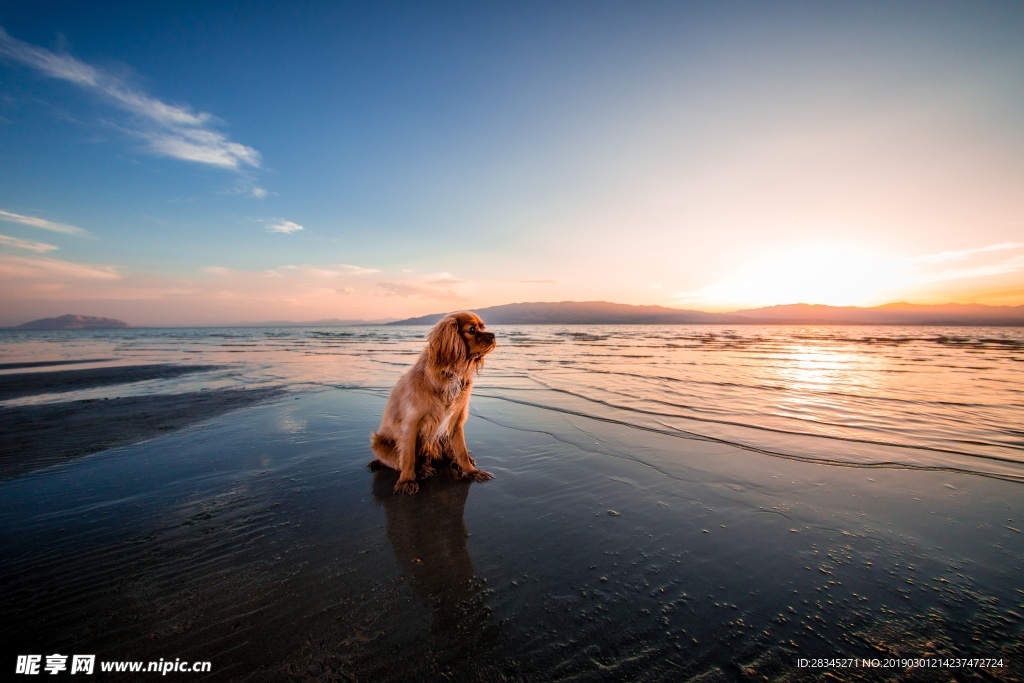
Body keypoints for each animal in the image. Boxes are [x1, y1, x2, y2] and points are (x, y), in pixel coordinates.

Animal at [368, 313, 495, 493]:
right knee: (405, 461)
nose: (493, 335)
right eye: (471, 330)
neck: (451, 374)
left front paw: (471, 471)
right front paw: (407, 480)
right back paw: (421, 470)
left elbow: (461, 451)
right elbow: (408, 457)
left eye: (483, 328)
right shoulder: (411, 424)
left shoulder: (455, 423)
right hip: (378, 443)